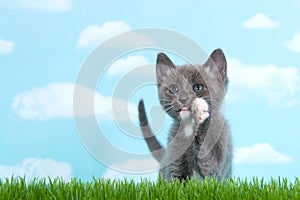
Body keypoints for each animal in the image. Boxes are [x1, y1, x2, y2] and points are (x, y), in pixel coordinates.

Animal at [138, 49, 232, 182]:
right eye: (174, 89)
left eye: (197, 87)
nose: (183, 99)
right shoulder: (175, 167)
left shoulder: (216, 170)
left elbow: (209, 164)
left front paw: (201, 111)